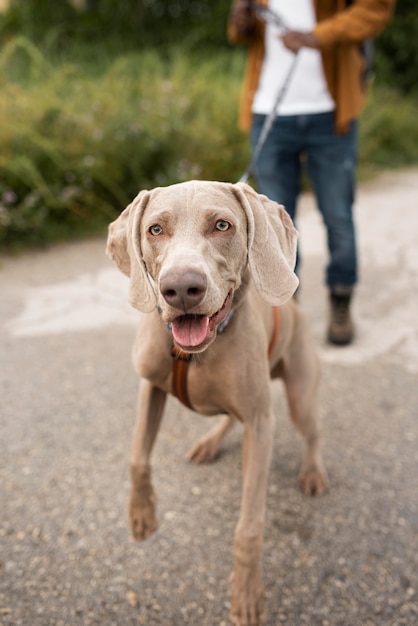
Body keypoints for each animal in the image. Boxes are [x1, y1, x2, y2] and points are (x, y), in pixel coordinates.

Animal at [106, 180, 328, 624]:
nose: (180, 289)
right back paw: (209, 443)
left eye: (222, 225)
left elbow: (249, 527)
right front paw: (142, 516)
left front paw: (246, 595)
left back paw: (312, 472)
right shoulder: (150, 386)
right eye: (155, 229)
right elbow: (137, 458)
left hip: (299, 393)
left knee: (312, 432)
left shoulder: (261, 422)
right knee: (228, 417)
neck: (194, 354)